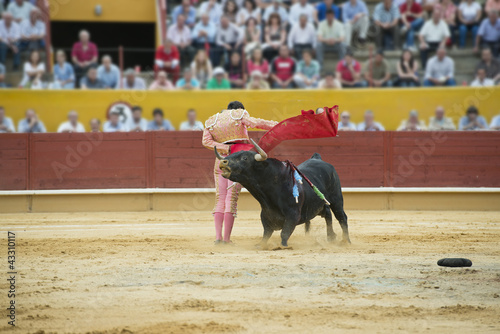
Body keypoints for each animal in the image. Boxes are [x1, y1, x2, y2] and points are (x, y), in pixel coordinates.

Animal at [213, 141, 350, 248]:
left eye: (245, 158)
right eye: (232, 154)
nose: (224, 162)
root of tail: (317, 158)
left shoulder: (293, 215)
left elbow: (284, 233)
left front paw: (283, 246)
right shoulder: (266, 214)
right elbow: (266, 233)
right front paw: (261, 244)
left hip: (336, 199)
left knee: (342, 217)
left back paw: (346, 241)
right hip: (320, 204)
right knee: (327, 213)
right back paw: (331, 237)